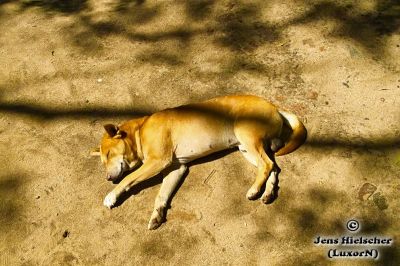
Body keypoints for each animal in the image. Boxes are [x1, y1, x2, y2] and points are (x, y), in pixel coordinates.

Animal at [92, 95, 308, 229]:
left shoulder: (158, 161)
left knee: (266, 165)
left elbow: (127, 179)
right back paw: (268, 193)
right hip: (248, 148)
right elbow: (161, 196)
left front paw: (111, 195)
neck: (140, 129)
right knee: (273, 167)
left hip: (246, 136)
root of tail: (275, 107)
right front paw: (157, 215)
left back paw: (254, 190)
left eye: (109, 154)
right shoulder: (176, 169)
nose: (108, 178)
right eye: (102, 161)